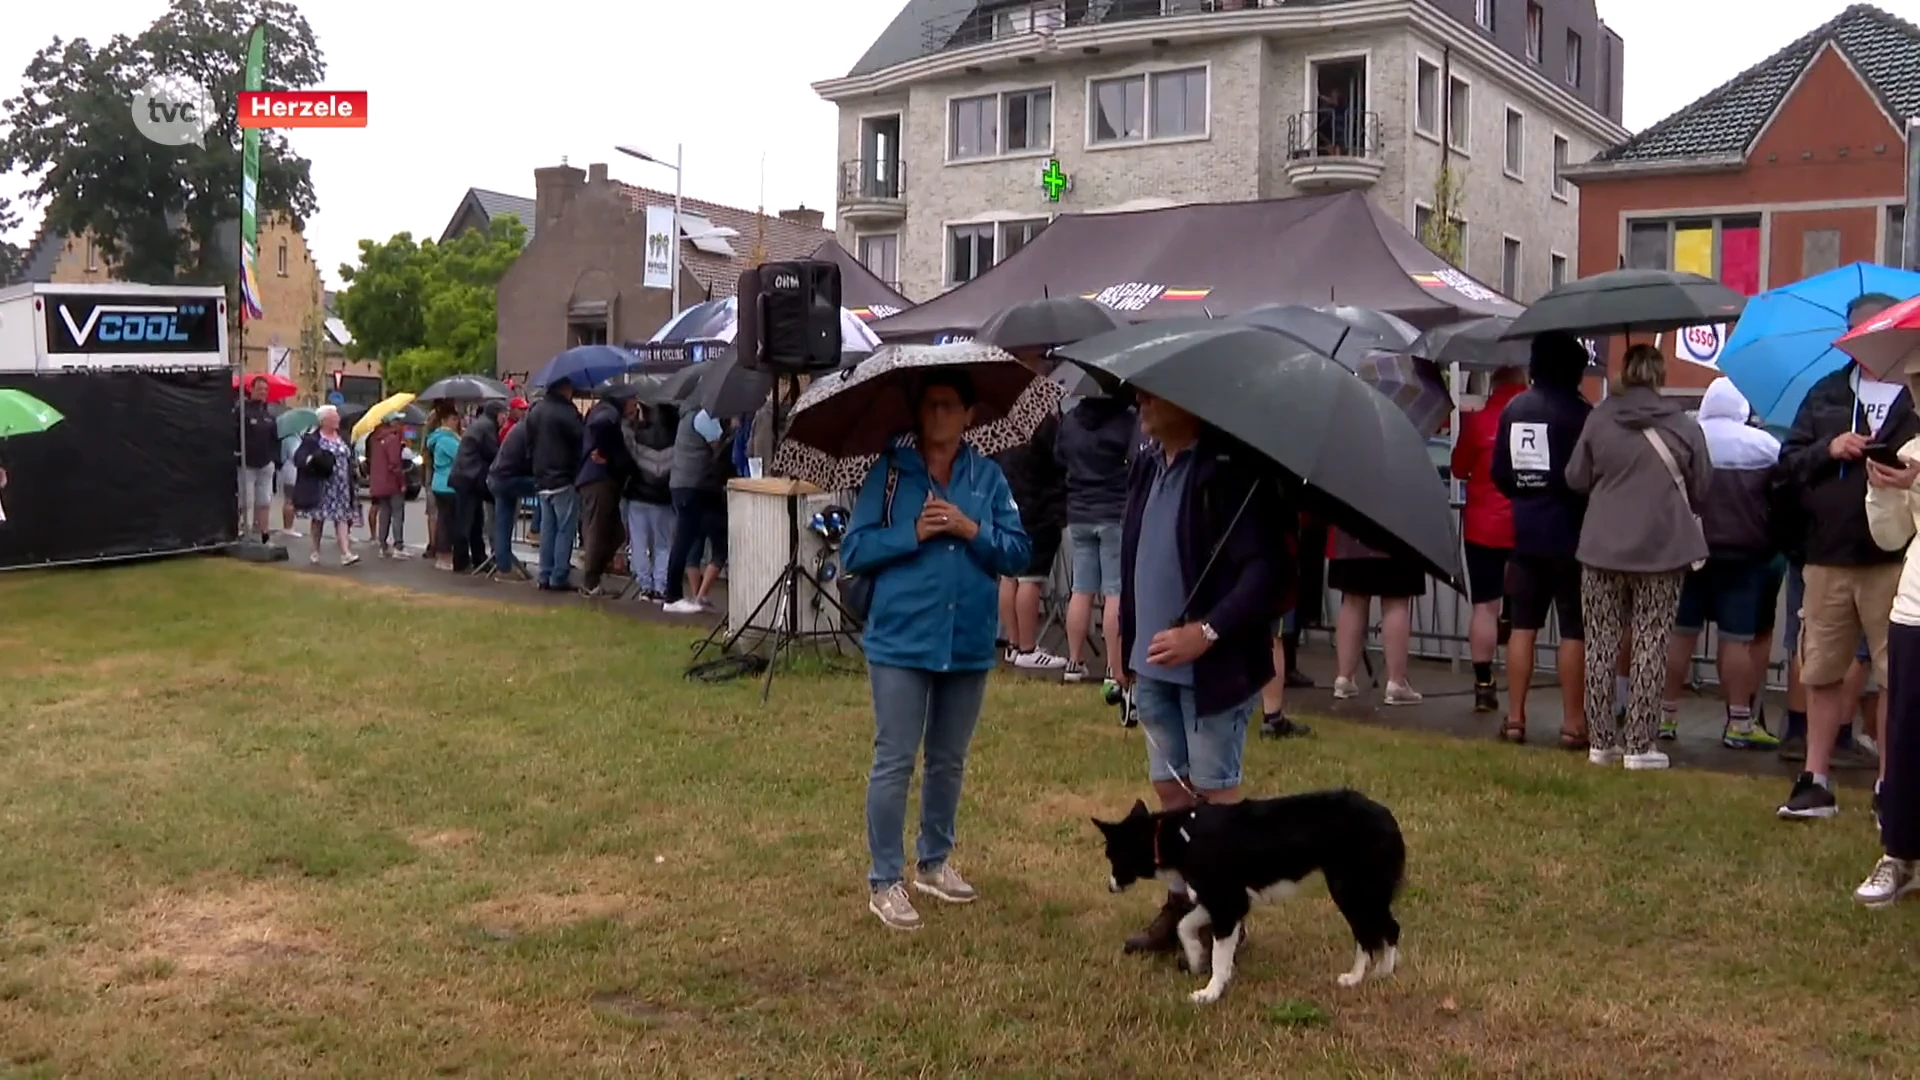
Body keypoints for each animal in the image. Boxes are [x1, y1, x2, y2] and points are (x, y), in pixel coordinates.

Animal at [1105, 780, 1405, 999]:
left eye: (1111, 855)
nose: (1109, 886)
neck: (1179, 836)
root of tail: (1387, 815)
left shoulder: (1228, 903)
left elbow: (1219, 956)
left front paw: (1210, 993)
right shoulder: (1222, 901)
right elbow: (1184, 925)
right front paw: (1195, 956)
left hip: (1353, 889)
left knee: (1378, 931)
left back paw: (1363, 976)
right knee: (1381, 930)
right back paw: (1378, 973)